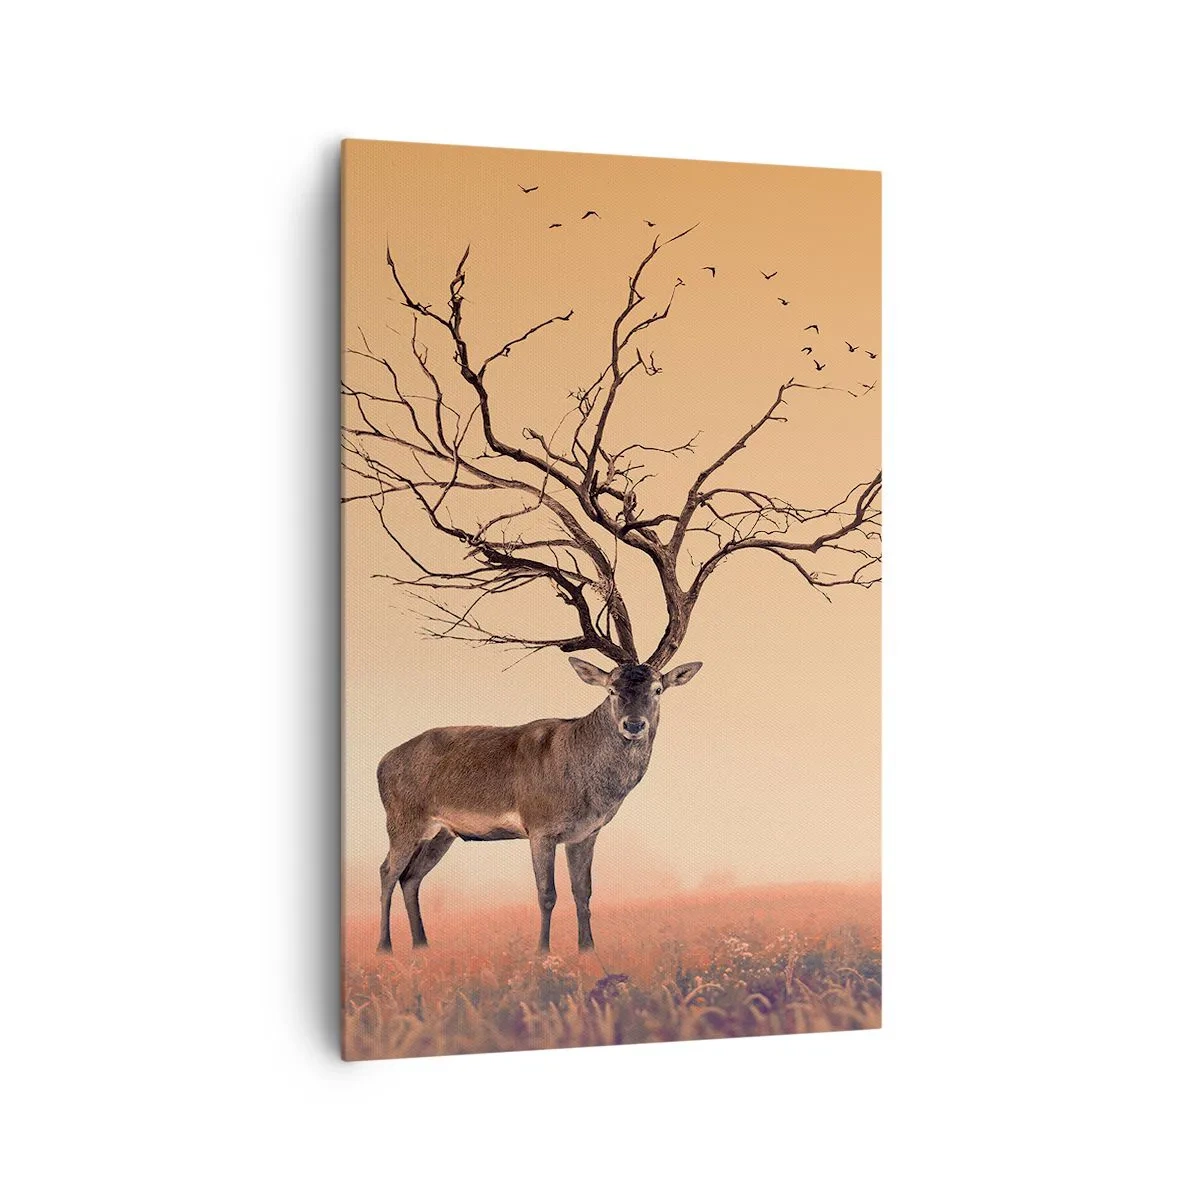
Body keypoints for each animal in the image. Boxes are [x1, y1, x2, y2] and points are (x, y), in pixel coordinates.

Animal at [377, 657, 702, 953]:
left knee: (411, 877)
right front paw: (542, 951)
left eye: (658, 689)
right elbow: (547, 894)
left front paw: (588, 949)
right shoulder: (539, 827)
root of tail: (382, 763)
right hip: (402, 820)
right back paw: (385, 947)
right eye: (611, 689)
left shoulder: (585, 834)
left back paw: (421, 946)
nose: (634, 724)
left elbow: (583, 892)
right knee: (387, 871)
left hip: (442, 833)